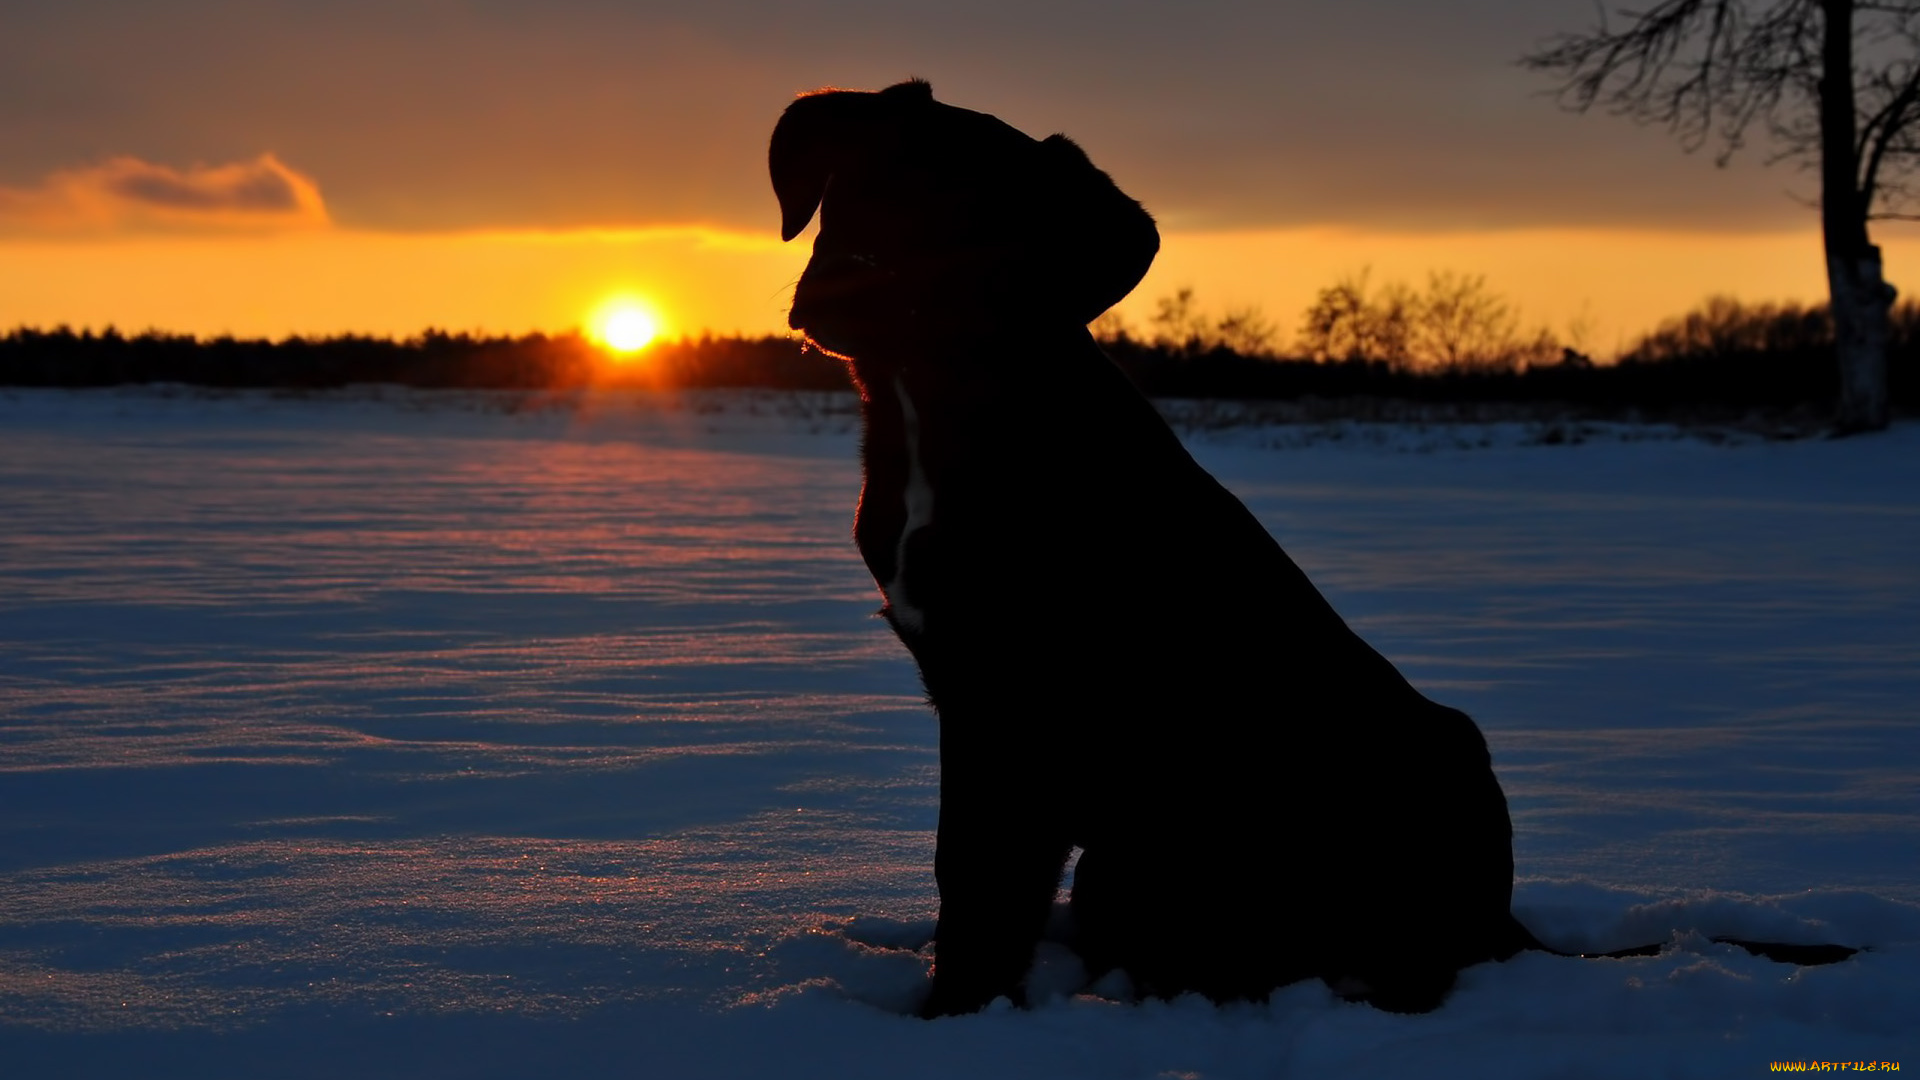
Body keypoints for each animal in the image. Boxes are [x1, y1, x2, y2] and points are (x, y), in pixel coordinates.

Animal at [764, 79, 1843, 1014]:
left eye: (976, 223)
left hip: (1380, 787)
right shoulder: (970, 697)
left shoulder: (1019, 709)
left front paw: (951, 1017)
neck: (939, 407)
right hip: (1137, 859)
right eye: (862, 184)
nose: (846, 293)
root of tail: (1500, 923)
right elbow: (966, 871)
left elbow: (984, 886)